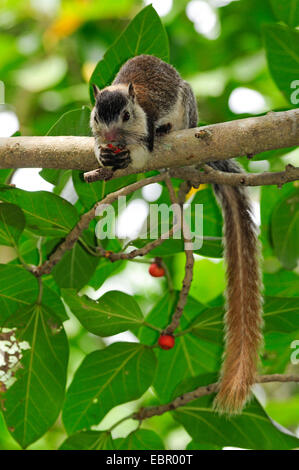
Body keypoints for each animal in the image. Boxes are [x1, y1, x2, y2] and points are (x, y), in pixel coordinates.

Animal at [90, 54, 264, 414]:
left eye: (126, 116)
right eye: (97, 117)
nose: (112, 135)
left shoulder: (149, 118)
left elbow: (146, 142)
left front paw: (139, 146)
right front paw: (104, 154)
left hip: (187, 104)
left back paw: (168, 131)